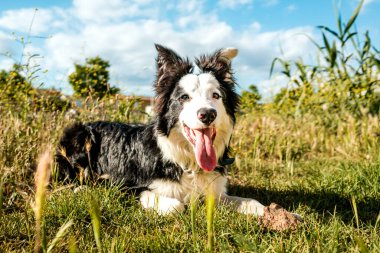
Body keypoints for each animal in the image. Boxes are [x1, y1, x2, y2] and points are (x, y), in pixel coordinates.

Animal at [56, 45, 268, 215]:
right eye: (184, 97)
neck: (189, 162)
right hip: (80, 138)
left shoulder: (215, 192)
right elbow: (176, 206)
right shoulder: (126, 186)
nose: (207, 114)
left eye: (216, 95)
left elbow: (254, 203)